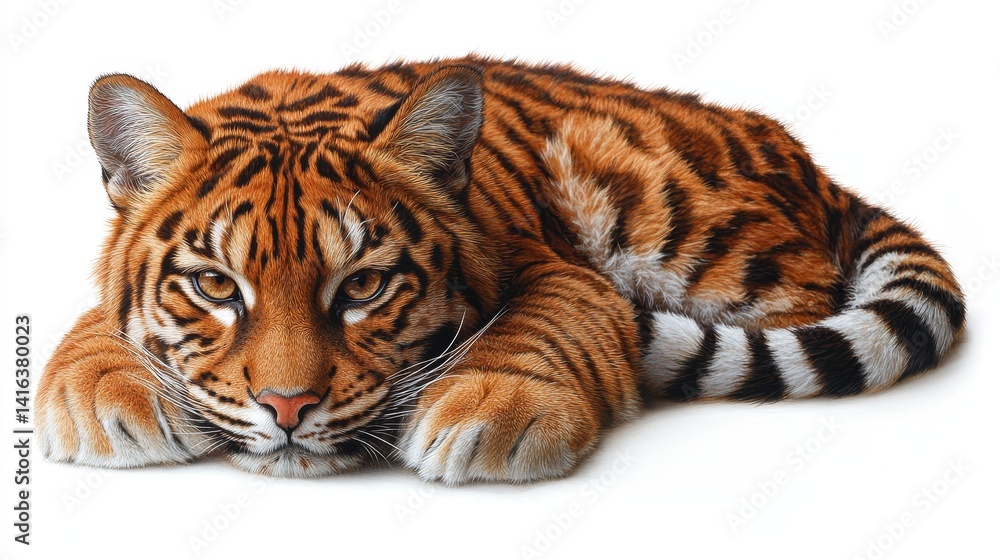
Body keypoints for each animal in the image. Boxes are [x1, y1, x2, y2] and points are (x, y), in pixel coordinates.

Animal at [35, 56, 965, 484]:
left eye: (363, 286)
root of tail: (801, 154)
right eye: (216, 286)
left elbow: (538, 330)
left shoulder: (561, 271)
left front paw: (488, 416)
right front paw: (99, 396)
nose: (289, 409)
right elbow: (96, 328)